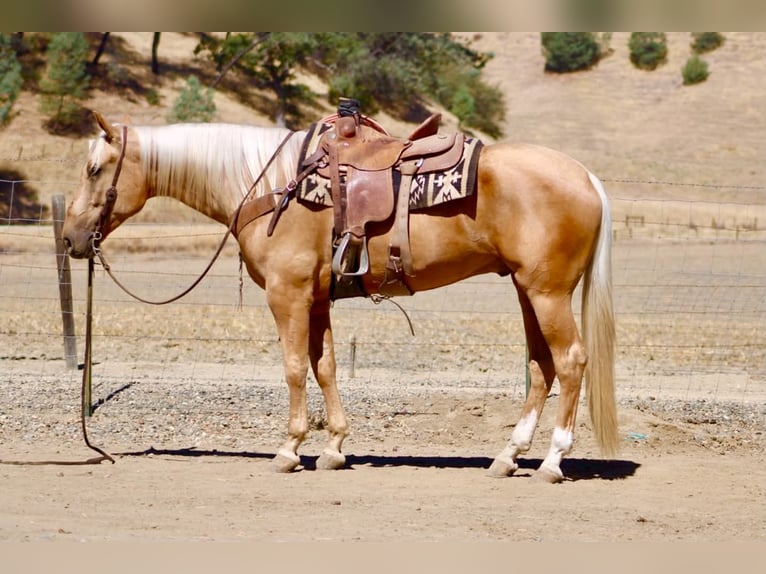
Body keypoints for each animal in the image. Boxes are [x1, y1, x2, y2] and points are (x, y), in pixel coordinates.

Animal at [62, 111, 617, 482]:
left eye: (93, 170)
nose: (70, 238)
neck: (271, 185)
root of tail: (586, 176)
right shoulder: (316, 299)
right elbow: (325, 365)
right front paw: (333, 447)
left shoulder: (287, 295)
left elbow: (292, 367)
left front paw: (289, 449)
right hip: (528, 290)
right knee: (542, 367)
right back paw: (508, 456)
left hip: (547, 293)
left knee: (570, 361)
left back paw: (552, 460)